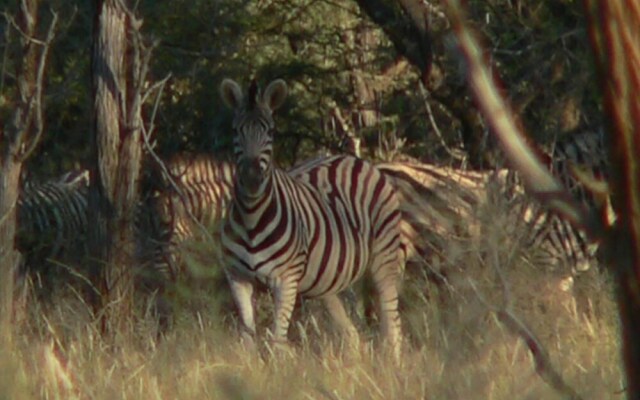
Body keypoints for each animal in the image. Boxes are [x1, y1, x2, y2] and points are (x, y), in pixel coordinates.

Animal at [218, 78, 402, 356]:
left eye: (271, 132)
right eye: (235, 131)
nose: (251, 177)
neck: (251, 218)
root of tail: (351, 159)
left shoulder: (285, 280)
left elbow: (277, 341)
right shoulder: (238, 278)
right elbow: (247, 339)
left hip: (384, 259)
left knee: (392, 325)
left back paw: (394, 364)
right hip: (329, 280)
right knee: (352, 334)